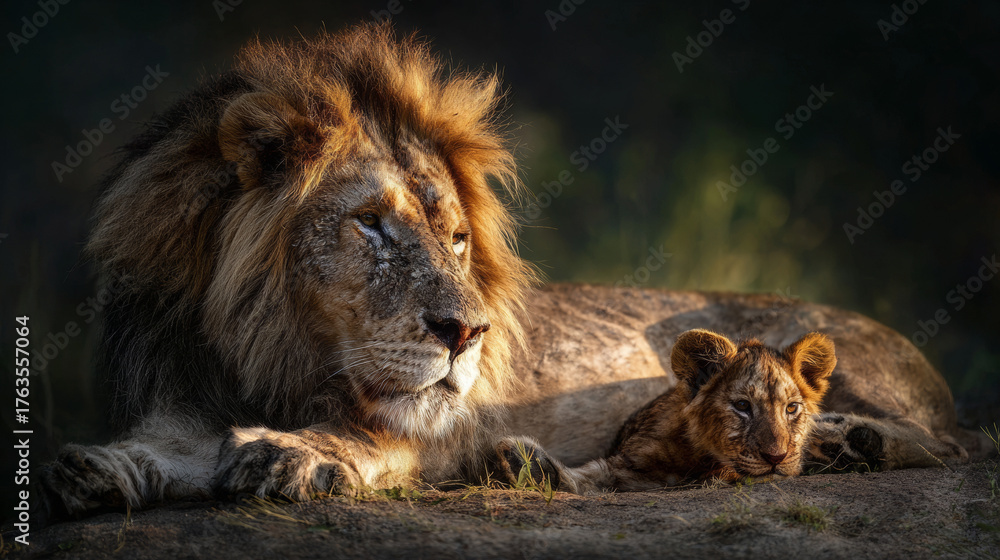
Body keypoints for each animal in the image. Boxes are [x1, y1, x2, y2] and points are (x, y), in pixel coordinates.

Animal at [39, 23, 993, 519]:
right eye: (371, 224)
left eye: (458, 238)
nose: (467, 332)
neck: (272, 355)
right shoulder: (186, 396)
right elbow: (164, 447)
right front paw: (91, 468)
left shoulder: (441, 430)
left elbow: (373, 438)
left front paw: (292, 453)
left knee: (955, 441)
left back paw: (849, 442)